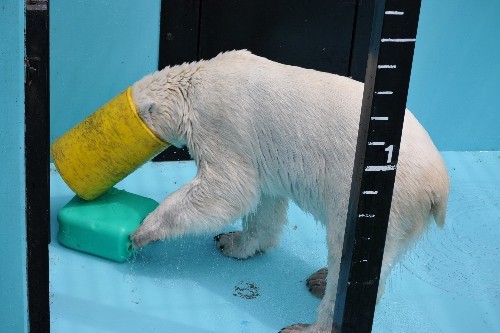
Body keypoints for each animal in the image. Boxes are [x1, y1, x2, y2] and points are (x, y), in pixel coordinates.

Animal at [129, 50, 450, 332]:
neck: (193, 85)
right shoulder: (262, 157)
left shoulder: (222, 124)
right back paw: (321, 279)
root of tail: (439, 185)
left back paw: (310, 322)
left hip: (375, 199)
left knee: (344, 249)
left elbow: (230, 187)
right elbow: (264, 202)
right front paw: (232, 242)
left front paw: (144, 231)